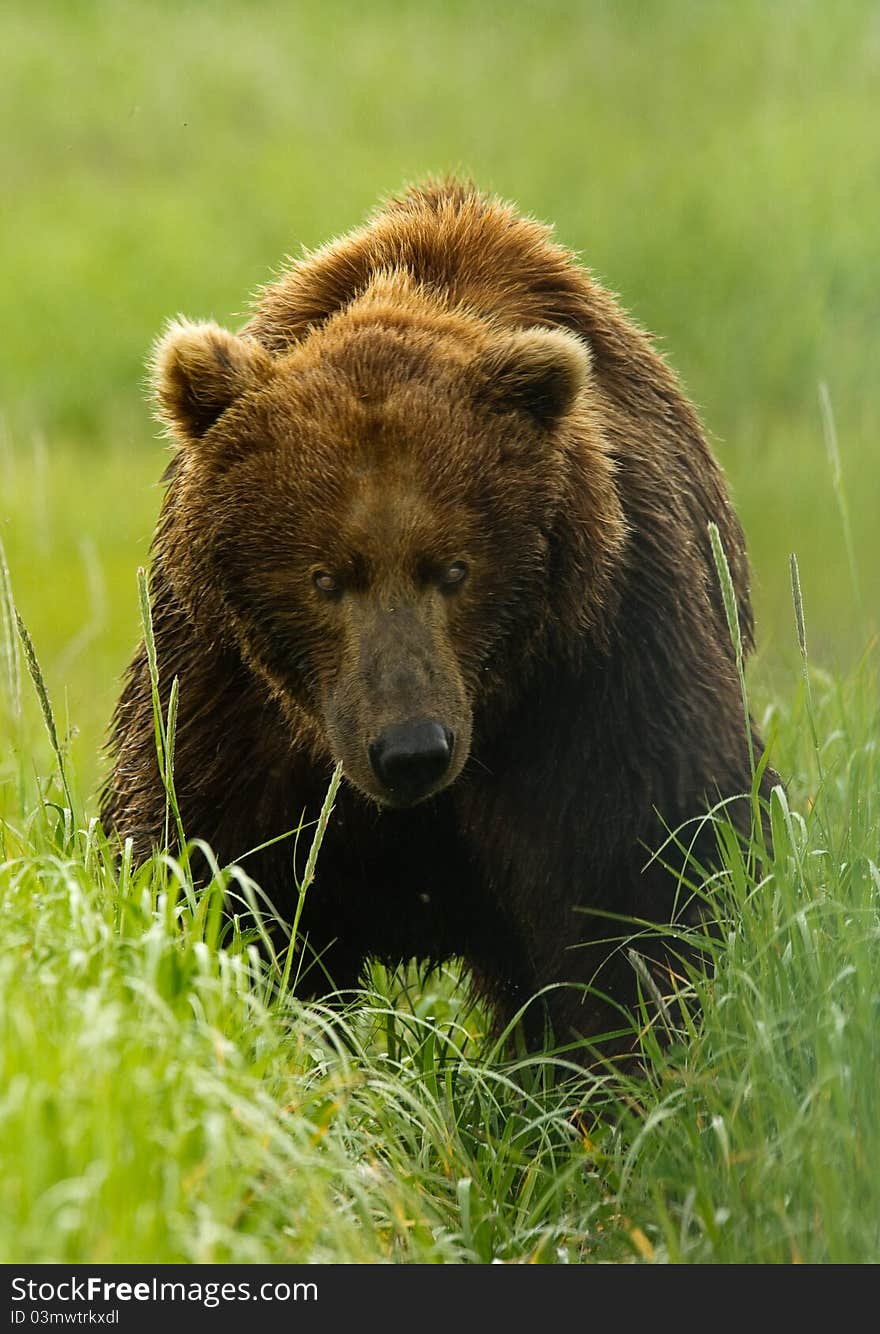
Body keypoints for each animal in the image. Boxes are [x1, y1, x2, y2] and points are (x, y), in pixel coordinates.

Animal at [103, 177, 773, 1056]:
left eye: (455, 569)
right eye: (324, 577)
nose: (411, 750)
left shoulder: (597, 671)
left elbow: (630, 900)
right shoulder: (227, 698)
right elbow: (226, 883)